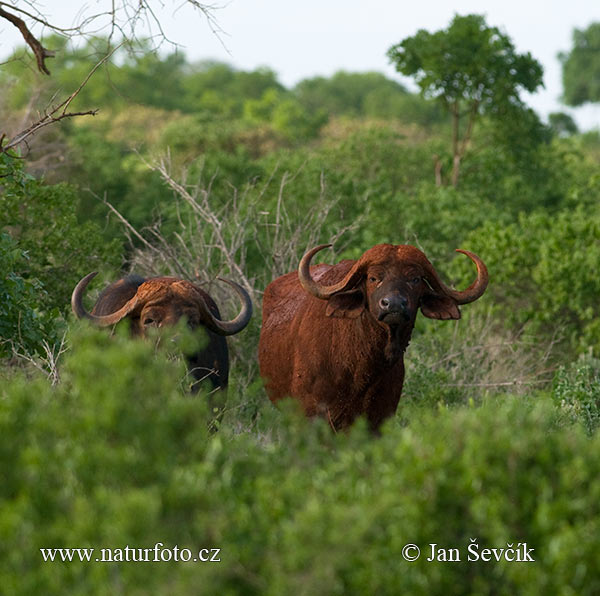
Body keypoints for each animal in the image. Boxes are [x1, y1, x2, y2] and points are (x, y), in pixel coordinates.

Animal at [258, 244, 488, 430]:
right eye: (373, 278)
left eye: (415, 279)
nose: (393, 304)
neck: (359, 367)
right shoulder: (311, 415)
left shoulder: (380, 416)